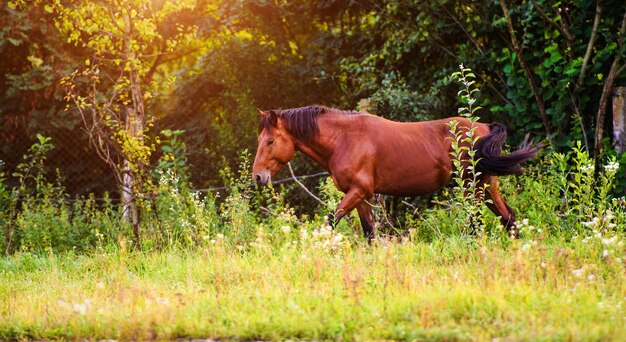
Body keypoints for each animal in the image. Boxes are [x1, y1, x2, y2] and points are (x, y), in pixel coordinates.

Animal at [250, 105, 536, 239]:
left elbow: (330, 220)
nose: (258, 177)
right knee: (508, 218)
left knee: (477, 222)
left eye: (270, 141)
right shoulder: (361, 196)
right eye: (259, 140)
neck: (345, 139)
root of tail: (485, 128)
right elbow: (369, 233)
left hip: (472, 188)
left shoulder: (358, 191)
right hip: (485, 188)